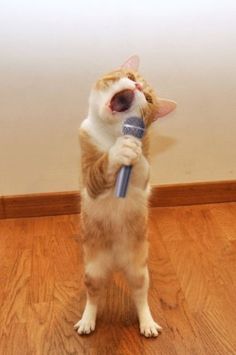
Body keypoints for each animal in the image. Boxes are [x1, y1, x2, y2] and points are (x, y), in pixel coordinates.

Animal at [74, 56, 176, 340]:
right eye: (130, 76)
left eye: (149, 99)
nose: (138, 87)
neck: (112, 136)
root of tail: (116, 264)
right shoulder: (91, 179)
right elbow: (102, 165)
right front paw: (121, 151)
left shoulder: (142, 182)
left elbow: (142, 167)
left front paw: (133, 149)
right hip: (93, 271)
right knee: (93, 297)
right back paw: (87, 321)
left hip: (140, 271)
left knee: (140, 297)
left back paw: (148, 323)